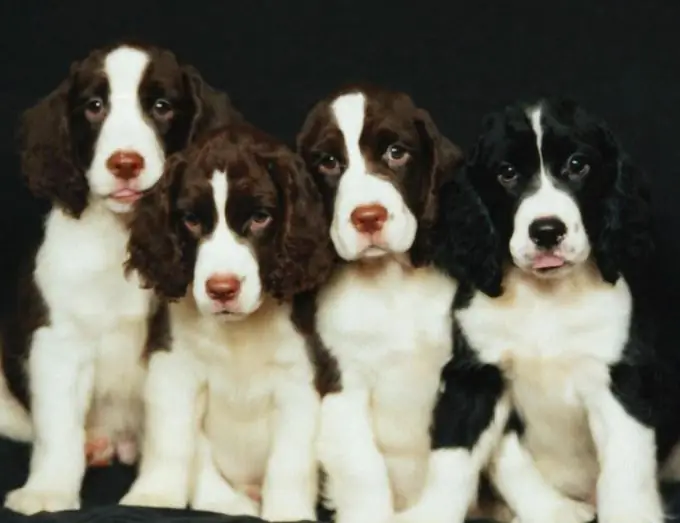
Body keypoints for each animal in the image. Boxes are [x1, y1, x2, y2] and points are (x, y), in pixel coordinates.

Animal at [0, 42, 240, 516]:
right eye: (94, 106)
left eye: (161, 107)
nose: (125, 164)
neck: (125, 237)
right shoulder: (58, 343)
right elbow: (58, 428)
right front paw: (48, 491)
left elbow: (192, 437)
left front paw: (214, 498)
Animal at [121, 122, 336, 520]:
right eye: (191, 220)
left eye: (260, 217)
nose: (222, 289)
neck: (239, 332)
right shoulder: (173, 368)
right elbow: (173, 441)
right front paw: (154, 495)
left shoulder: (301, 379)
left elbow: (290, 461)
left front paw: (288, 512)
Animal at [298, 86, 468, 523]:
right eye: (328, 162)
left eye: (396, 152)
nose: (368, 217)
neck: (391, 282)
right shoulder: (342, 385)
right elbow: (364, 470)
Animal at [432, 98, 660, 523]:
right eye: (506, 173)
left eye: (577, 165)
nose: (547, 232)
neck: (545, 299)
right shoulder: (475, 376)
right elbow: (456, 460)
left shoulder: (618, 377)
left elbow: (627, 472)